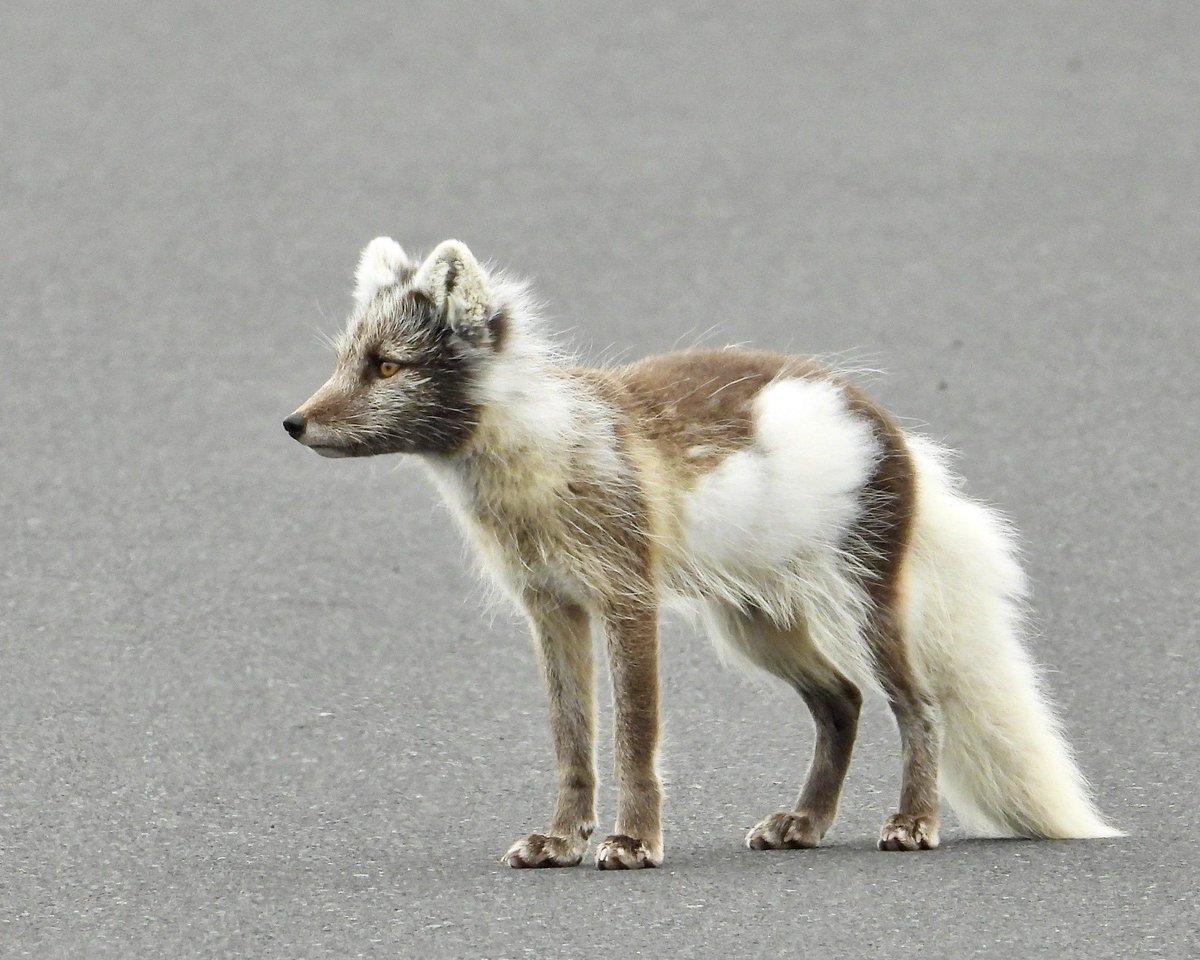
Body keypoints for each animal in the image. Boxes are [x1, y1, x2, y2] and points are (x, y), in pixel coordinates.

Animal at [284, 236, 1121, 870]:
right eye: (345, 360)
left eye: (387, 366)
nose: (292, 423)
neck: (539, 457)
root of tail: (886, 423)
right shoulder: (551, 608)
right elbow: (572, 742)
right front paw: (562, 841)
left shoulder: (627, 600)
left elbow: (635, 737)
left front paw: (632, 842)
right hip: (755, 627)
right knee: (843, 701)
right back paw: (804, 824)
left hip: (859, 608)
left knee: (918, 707)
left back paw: (913, 824)